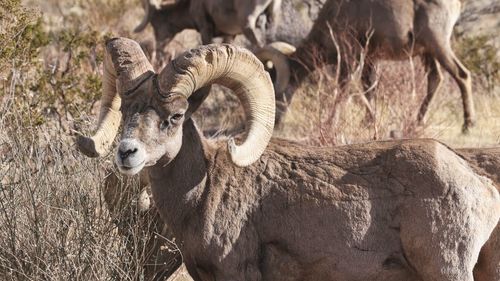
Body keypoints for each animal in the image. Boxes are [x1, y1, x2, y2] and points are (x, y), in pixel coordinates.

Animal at [77, 37, 500, 280]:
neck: (204, 191)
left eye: (176, 116)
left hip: (446, 270)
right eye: (127, 109)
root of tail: (482, 188)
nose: (126, 153)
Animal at [264, 0, 474, 132]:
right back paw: (418, 122)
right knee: (435, 78)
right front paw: (368, 122)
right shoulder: (370, 59)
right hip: (428, 52)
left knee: (462, 75)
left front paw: (330, 123)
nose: (275, 124)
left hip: (438, 44)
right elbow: (369, 88)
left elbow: (344, 88)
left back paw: (468, 126)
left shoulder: (349, 56)